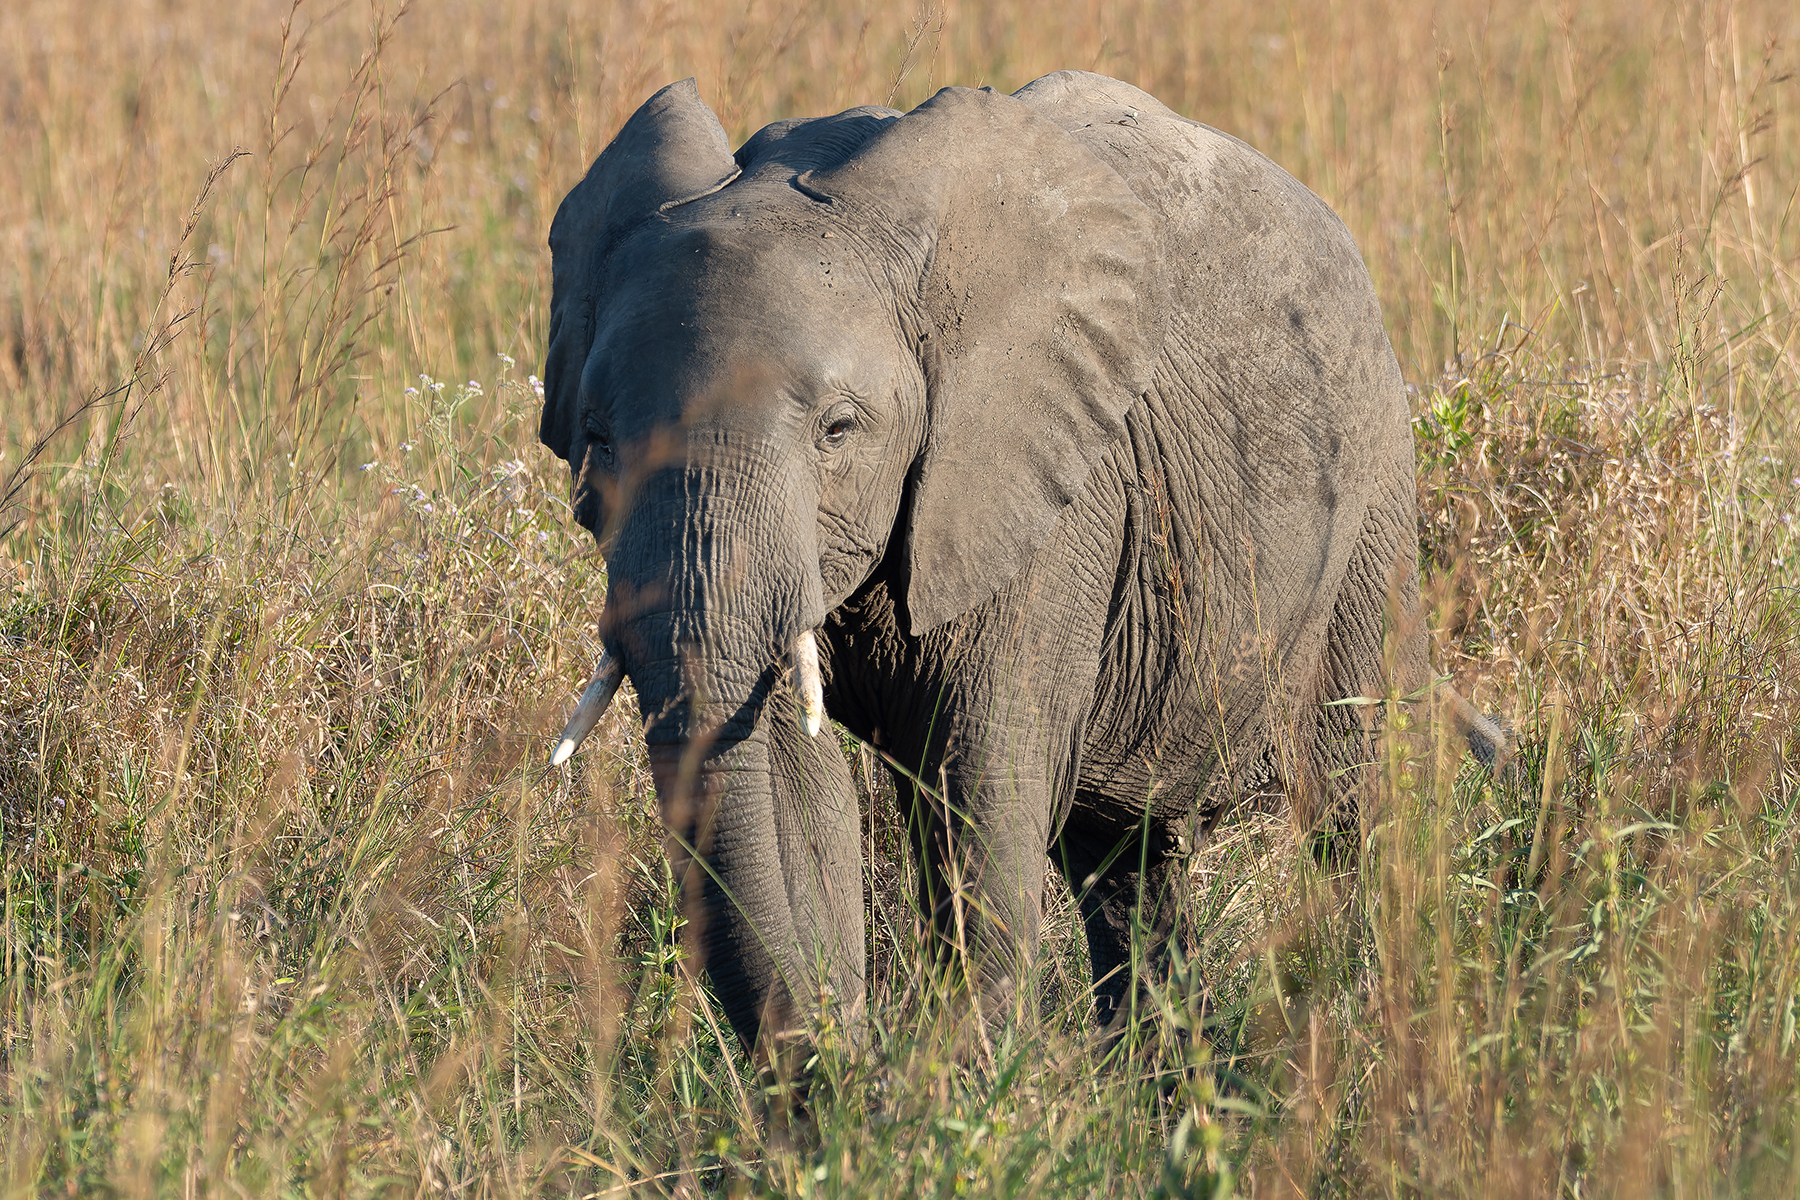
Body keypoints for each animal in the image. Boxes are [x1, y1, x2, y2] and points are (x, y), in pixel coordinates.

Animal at [539, 70, 1506, 1058]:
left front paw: (953, 1086)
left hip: (1373, 500)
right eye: (597, 441)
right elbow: (783, 781)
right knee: (1126, 863)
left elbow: (981, 784)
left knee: (1359, 804)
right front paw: (845, 1083)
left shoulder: (1051, 501)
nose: (851, 1061)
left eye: (838, 431)